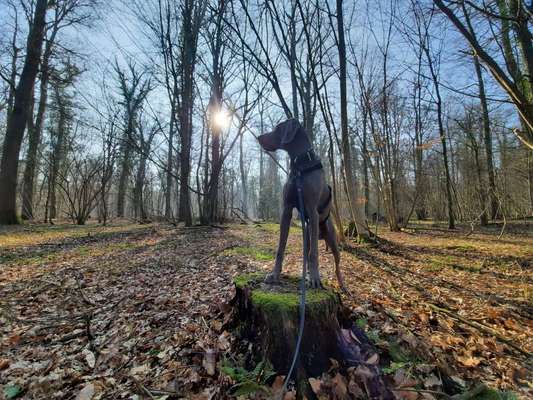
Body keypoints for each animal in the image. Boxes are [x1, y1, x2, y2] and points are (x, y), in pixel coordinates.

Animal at [258, 117, 344, 290]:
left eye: (278, 128)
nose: (258, 137)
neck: (300, 166)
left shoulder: (312, 210)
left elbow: (315, 254)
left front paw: (316, 279)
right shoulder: (286, 210)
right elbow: (280, 247)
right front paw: (274, 274)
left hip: (332, 240)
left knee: (336, 264)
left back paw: (341, 284)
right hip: (307, 236)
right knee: (308, 253)